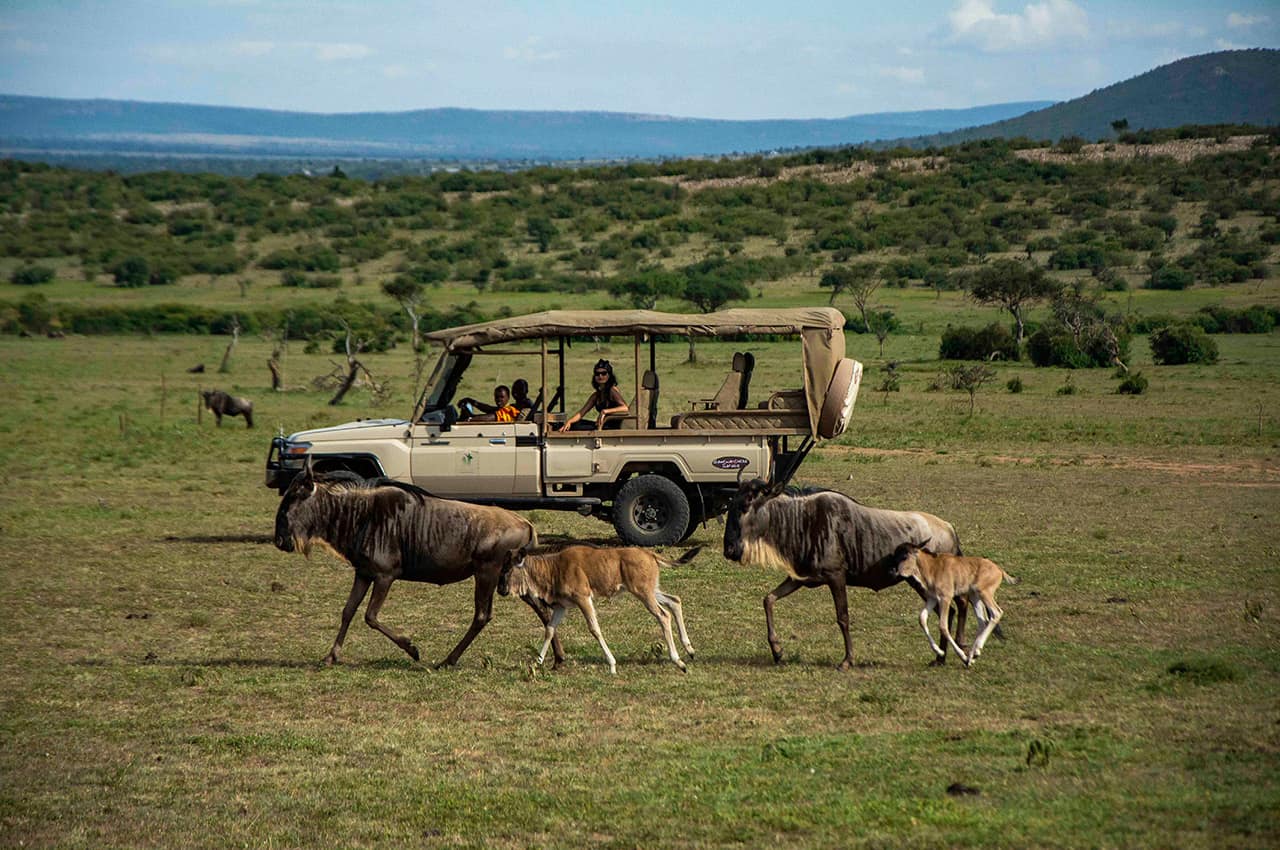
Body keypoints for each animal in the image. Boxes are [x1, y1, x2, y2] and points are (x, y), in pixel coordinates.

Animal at [499, 547, 701, 675]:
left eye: (508, 568)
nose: (500, 590)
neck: (554, 568)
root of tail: (649, 553)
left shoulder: (583, 599)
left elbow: (594, 629)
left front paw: (612, 665)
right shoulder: (562, 606)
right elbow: (549, 629)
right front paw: (537, 663)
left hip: (643, 593)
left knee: (663, 615)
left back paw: (679, 661)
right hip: (651, 591)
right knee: (675, 601)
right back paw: (690, 649)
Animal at [885, 540, 1013, 665]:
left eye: (905, 556)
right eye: (895, 555)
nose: (892, 572)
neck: (932, 567)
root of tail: (1000, 570)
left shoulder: (945, 598)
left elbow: (942, 626)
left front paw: (959, 656)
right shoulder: (932, 598)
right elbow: (922, 618)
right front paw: (940, 651)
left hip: (984, 593)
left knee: (996, 613)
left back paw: (972, 655)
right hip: (975, 596)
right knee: (982, 621)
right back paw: (973, 655)